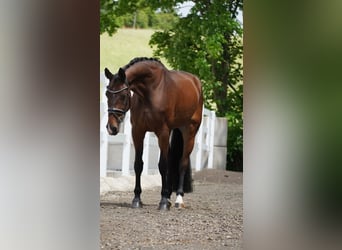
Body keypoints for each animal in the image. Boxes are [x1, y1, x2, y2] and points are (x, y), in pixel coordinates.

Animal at [103, 57, 202, 210]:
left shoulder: (163, 132)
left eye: (124, 95)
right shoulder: (138, 131)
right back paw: (169, 196)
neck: (152, 91)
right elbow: (138, 165)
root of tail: (196, 82)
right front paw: (137, 199)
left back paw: (178, 199)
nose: (112, 127)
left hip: (189, 131)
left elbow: (162, 165)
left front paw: (163, 202)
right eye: (107, 94)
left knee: (182, 163)